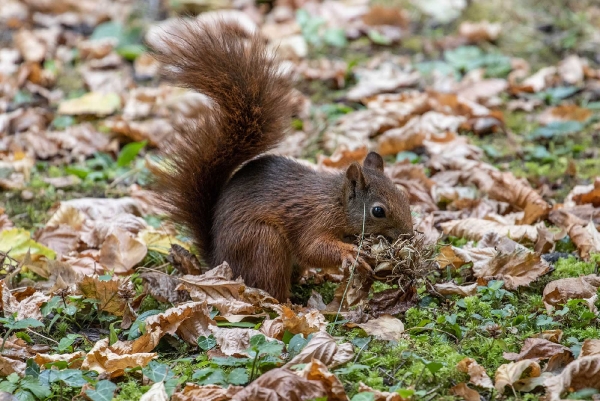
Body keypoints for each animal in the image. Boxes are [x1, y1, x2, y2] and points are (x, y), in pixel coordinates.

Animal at [151, 18, 412, 300]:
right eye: (378, 211)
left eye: (404, 195)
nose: (409, 236)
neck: (337, 203)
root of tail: (220, 262)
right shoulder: (314, 220)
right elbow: (312, 247)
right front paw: (350, 253)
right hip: (264, 244)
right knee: (270, 287)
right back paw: (290, 304)